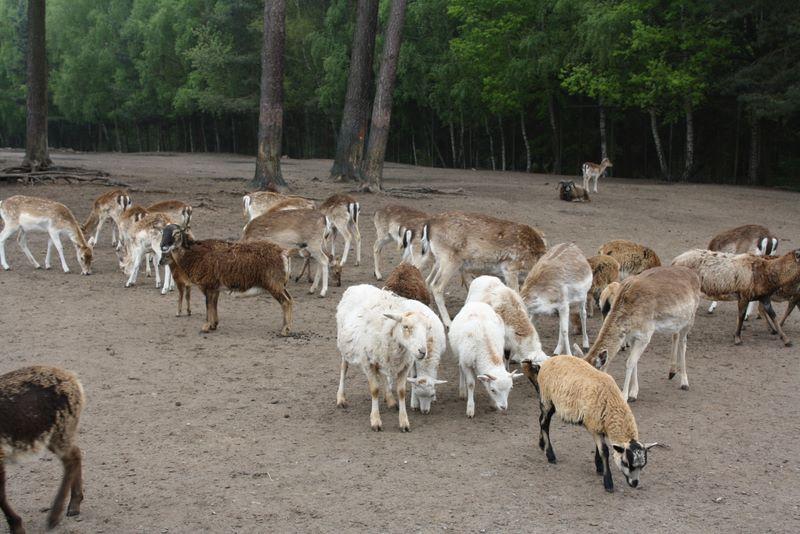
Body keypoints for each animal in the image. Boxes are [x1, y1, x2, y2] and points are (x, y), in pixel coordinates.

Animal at [0, 366, 85, 532]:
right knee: (75, 453)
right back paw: (74, 505)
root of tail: (72, 378)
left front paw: (17, 527)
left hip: (61, 429)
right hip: (55, 433)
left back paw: (55, 517)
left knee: (72, 459)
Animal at [159, 224, 293, 335]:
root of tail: (283, 253)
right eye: (162, 232)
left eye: (176, 233)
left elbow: (208, 305)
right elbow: (213, 304)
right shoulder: (215, 288)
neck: (195, 255)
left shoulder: (207, 286)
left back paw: (285, 330)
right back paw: (287, 327)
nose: (163, 246)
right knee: (290, 299)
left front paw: (206, 326)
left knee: (285, 302)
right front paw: (213, 325)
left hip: (273, 285)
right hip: (280, 285)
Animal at [335, 284, 434, 431]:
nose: (422, 351)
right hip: (345, 346)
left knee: (382, 374)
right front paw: (376, 420)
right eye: (406, 327)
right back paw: (341, 398)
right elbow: (374, 390)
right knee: (344, 368)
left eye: (427, 329)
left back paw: (390, 400)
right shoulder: (367, 363)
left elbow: (401, 392)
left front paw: (404, 422)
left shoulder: (405, 365)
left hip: (380, 357)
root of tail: (357, 286)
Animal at [521, 356, 658, 492]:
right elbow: (604, 451)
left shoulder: (599, 426)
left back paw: (542, 444)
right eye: (626, 463)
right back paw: (550, 455)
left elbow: (599, 448)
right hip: (547, 398)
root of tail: (546, 362)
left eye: (643, 465)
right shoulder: (594, 425)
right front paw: (608, 482)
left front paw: (599, 467)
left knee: (542, 420)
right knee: (544, 424)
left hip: (550, 402)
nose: (634, 483)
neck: (612, 403)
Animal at [573, 266, 701, 402]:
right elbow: (634, 362)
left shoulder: (645, 334)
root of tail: (695, 275)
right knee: (675, 335)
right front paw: (633, 393)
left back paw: (684, 382)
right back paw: (671, 372)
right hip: (678, 322)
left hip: (690, 318)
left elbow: (629, 362)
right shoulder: (632, 336)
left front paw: (624, 395)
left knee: (683, 342)